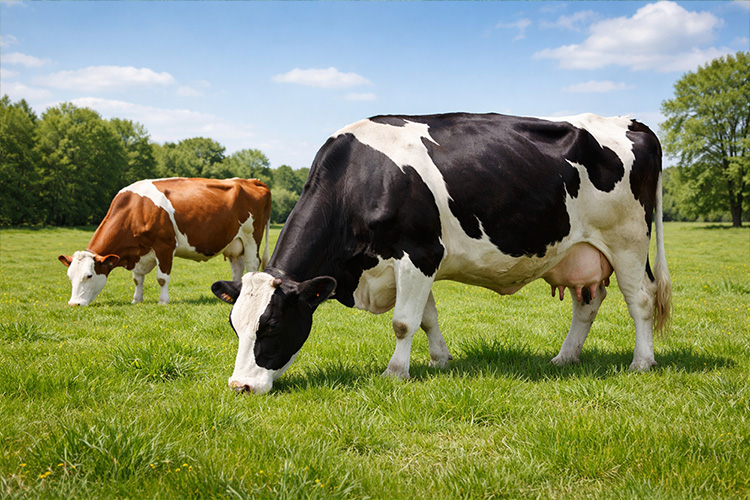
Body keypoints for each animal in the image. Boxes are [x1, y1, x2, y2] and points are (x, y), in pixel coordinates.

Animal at [59, 177, 271, 306]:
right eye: (69, 277)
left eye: (89, 276)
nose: (74, 304)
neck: (136, 209)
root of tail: (251, 181)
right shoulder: (139, 252)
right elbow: (137, 279)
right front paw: (136, 300)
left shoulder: (165, 246)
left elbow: (162, 278)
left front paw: (163, 301)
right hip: (234, 243)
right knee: (237, 268)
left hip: (251, 237)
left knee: (252, 265)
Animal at [211, 113, 672, 394]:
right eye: (236, 327)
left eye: (270, 326)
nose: (240, 386)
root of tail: (632, 122)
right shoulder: (415, 263)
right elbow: (427, 317)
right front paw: (439, 361)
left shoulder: (419, 251)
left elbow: (403, 321)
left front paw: (395, 373)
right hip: (581, 251)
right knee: (588, 302)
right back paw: (564, 357)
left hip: (628, 240)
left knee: (641, 299)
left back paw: (642, 362)